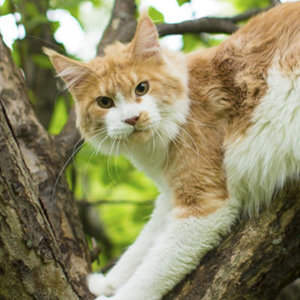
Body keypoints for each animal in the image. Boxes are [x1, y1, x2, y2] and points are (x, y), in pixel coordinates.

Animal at [44, 2, 300, 300]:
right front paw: (108, 282)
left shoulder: (203, 205)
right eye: (104, 102)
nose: (132, 118)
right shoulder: (170, 195)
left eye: (142, 88)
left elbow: (151, 271)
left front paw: (118, 292)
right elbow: (142, 245)